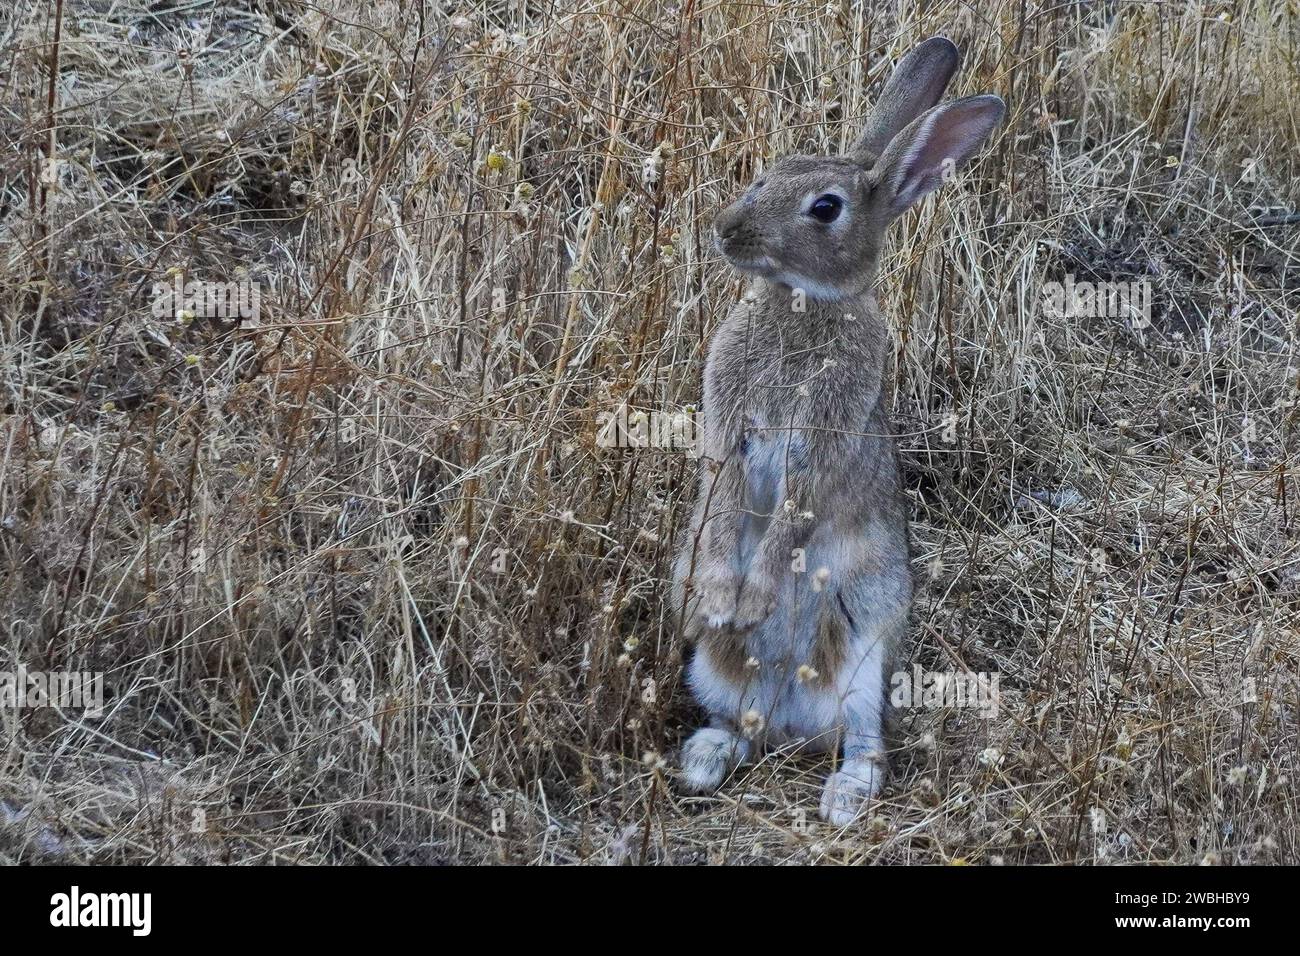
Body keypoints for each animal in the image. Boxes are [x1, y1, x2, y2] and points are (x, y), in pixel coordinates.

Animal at [673, 36, 1004, 825]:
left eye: (826, 208)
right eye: (767, 172)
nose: (727, 231)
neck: (803, 303)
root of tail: (791, 723)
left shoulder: (821, 441)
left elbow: (791, 517)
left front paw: (750, 600)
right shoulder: (727, 431)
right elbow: (722, 500)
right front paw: (721, 600)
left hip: (865, 659)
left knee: (865, 744)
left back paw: (844, 800)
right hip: (714, 673)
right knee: (738, 724)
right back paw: (704, 758)